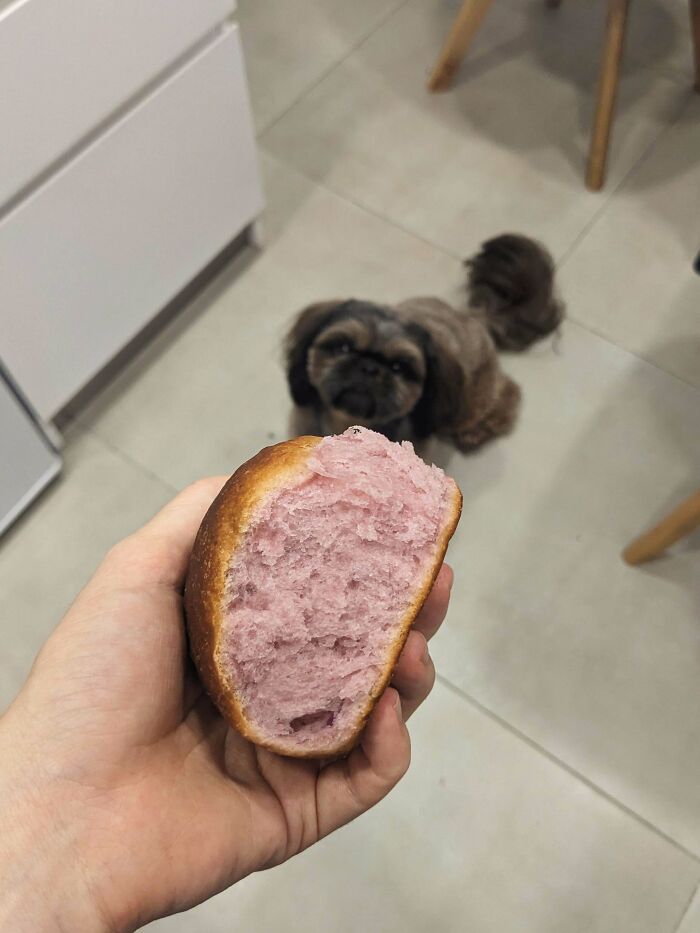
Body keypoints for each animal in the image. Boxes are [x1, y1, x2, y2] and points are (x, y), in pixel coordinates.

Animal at [284, 233, 564, 452]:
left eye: (399, 367)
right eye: (342, 347)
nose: (369, 367)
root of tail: (473, 316)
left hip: (474, 399)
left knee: (507, 395)